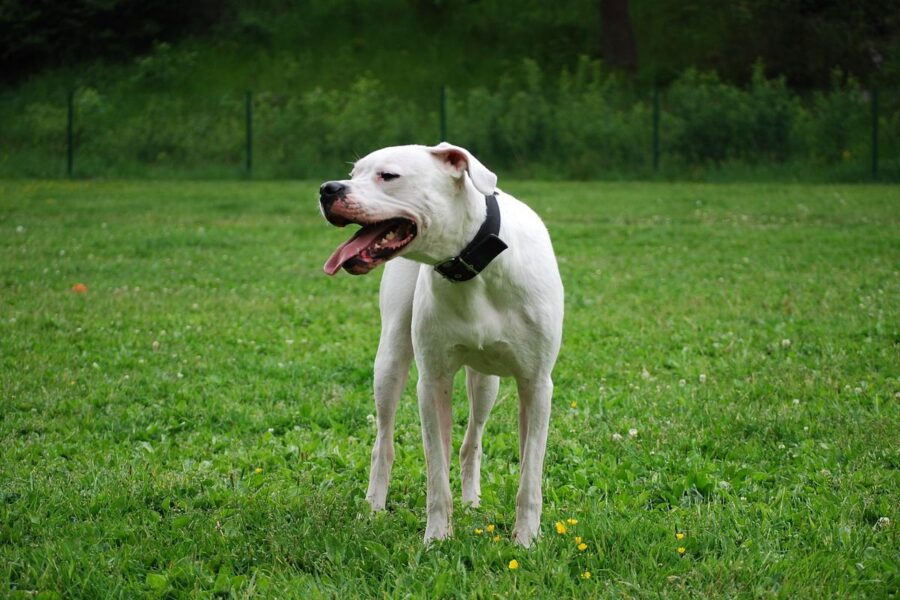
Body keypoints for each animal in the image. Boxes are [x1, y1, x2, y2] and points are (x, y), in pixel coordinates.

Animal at [320, 143, 564, 548]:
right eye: (354, 174)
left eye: (388, 175)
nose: (328, 189)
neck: (473, 267)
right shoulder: (432, 383)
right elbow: (436, 472)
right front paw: (436, 537)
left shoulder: (536, 385)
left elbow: (530, 474)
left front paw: (526, 540)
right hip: (390, 361)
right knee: (384, 442)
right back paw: (374, 506)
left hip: (487, 383)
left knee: (471, 442)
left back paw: (471, 502)